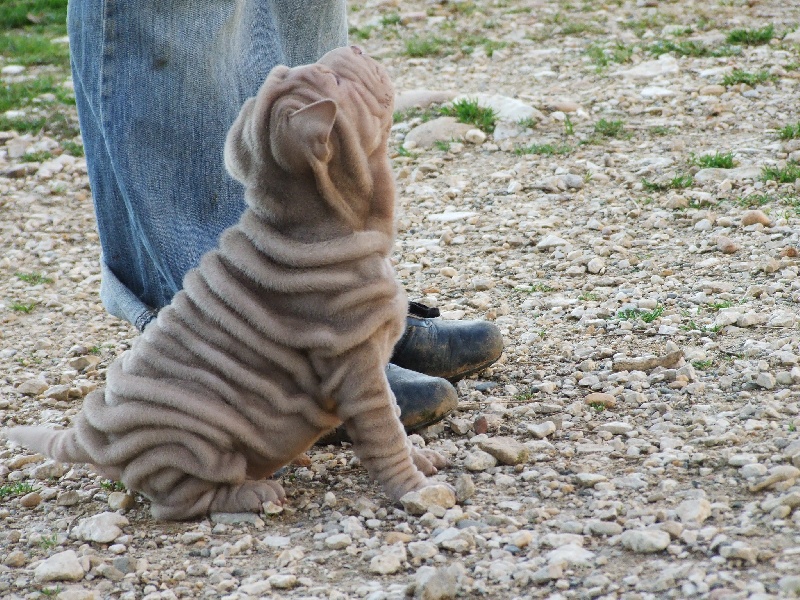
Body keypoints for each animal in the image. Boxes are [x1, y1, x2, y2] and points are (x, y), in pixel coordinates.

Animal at [1, 45, 450, 520]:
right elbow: (386, 432)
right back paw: (252, 494)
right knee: (181, 501)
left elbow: (396, 415)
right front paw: (415, 490)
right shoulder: (357, 369)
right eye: (335, 80)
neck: (318, 222)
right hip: (188, 445)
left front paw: (422, 460)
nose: (356, 48)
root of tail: (87, 435)